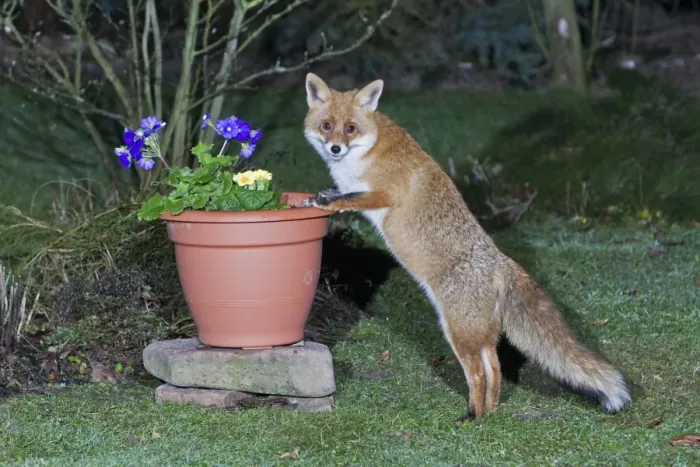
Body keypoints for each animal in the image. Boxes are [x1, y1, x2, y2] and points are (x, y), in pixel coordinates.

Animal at [300, 73, 631, 422]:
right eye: (327, 126)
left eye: (350, 128)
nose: (335, 147)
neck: (369, 150)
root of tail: (503, 262)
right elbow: (338, 192)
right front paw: (317, 196)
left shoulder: (384, 193)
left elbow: (346, 199)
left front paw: (324, 201)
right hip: (479, 334)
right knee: (496, 369)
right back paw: (491, 412)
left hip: (458, 332)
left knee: (478, 374)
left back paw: (473, 415)